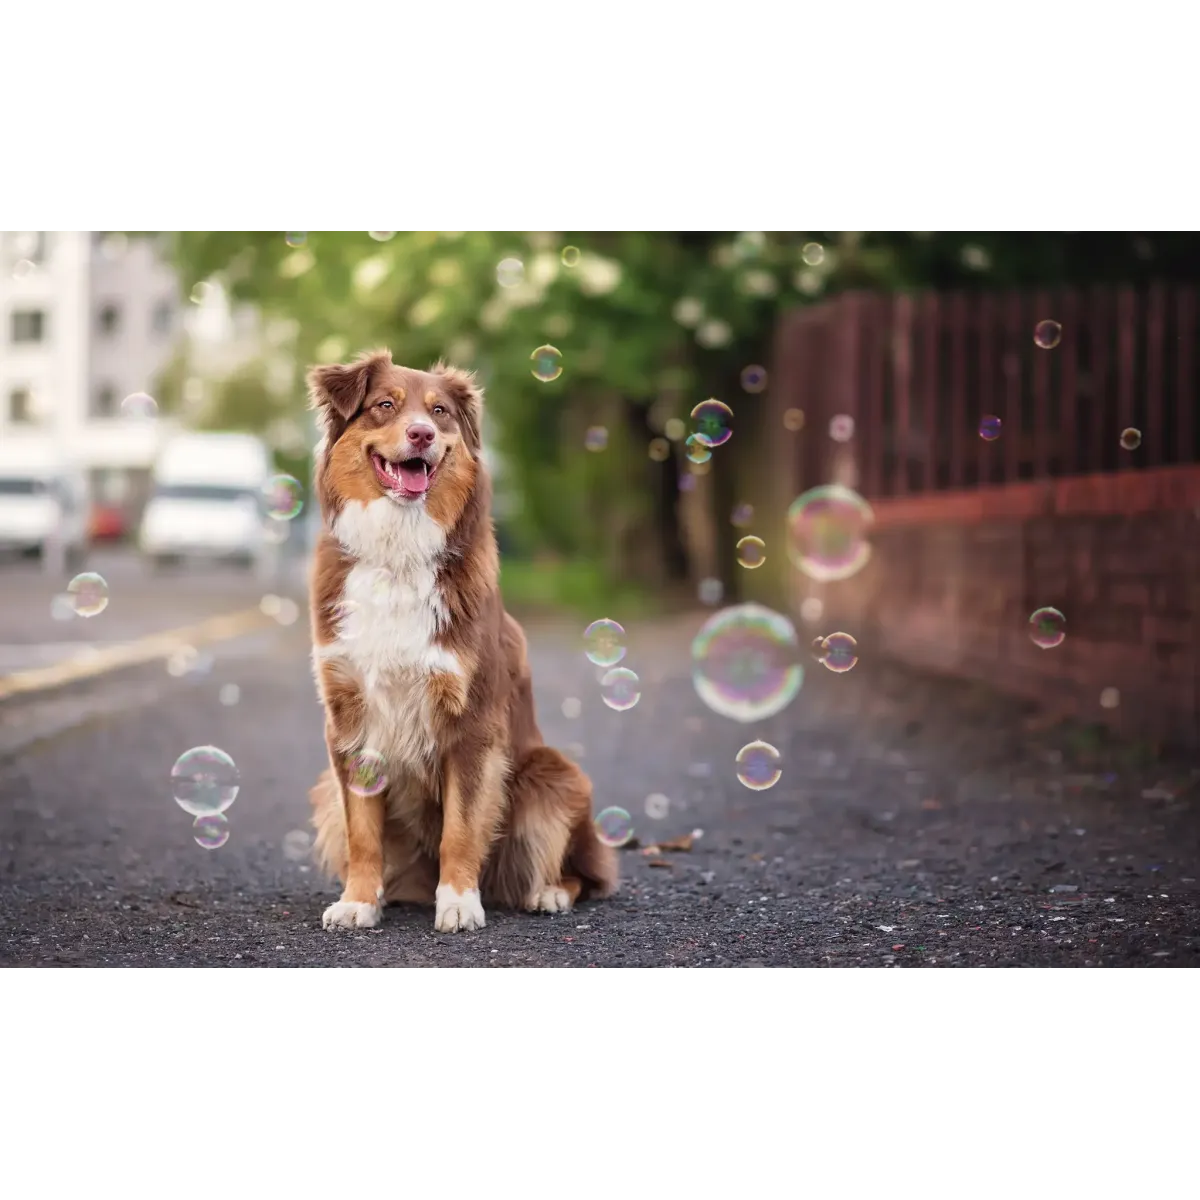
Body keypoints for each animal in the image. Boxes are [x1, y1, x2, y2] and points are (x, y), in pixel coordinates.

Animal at [304, 350, 619, 931]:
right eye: (385, 405)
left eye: (440, 412)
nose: (422, 434)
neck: (398, 552)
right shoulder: (348, 722)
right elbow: (363, 833)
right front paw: (357, 901)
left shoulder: (472, 722)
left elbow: (461, 826)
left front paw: (457, 903)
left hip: (554, 774)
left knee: (584, 873)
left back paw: (547, 892)